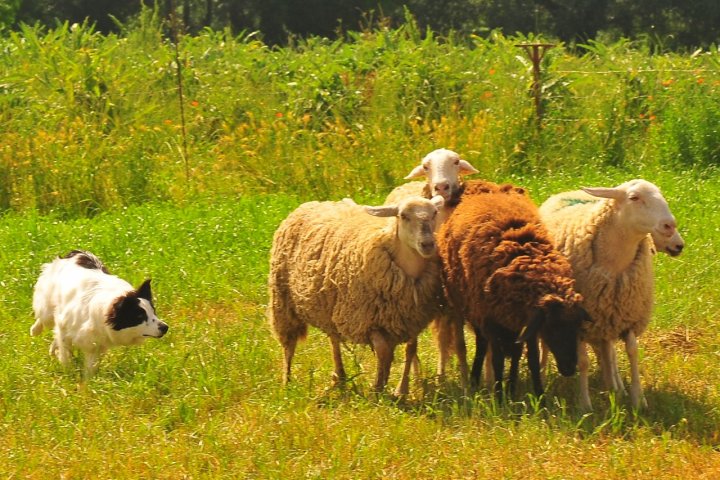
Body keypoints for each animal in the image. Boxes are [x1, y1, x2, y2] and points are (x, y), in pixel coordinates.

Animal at [30, 249, 169, 376]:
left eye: (153, 312)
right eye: (139, 316)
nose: (165, 327)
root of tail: (77, 252)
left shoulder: (96, 345)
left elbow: (90, 368)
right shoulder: (64, 325)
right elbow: (65, 353)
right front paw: (67, 372)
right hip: (48, 307)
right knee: (43, 317)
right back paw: (35, 330)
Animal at [268, 195, 444, 394]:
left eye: (435, 213)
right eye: (403, 216)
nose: (427, 244)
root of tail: (310, 203)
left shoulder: (412, 319)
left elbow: (410, 349)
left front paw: (400, 389)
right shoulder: (365, 320)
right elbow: (383, 351)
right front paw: (378, 387)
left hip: (329, 307)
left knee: (334, 339)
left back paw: (340, 377)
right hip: (282, 299)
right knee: (288, 344)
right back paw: (287, 382)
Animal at [436, 181, 588, 398]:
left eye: (576, 326)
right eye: (551, 327)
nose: (568, 368)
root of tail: (479, 185)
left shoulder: (525, 321)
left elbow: (531, 358)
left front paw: (539, 396)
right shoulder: (491, 320)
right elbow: (497, 359)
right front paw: (499, 397)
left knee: (514, 352)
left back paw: (512, 385)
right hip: (473, 309)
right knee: (482, 345)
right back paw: (475, 380)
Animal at [540, 178, 688, 410]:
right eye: (634, 197)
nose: (669, 225)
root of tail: (565, 192)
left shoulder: (628, 315)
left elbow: (632, 351)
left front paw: (637, 399)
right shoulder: (579, 320)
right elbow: (583, 361)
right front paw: (585, 405)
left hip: (608, 316)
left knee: (607, 349)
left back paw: (614, 386)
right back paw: (543, 376)